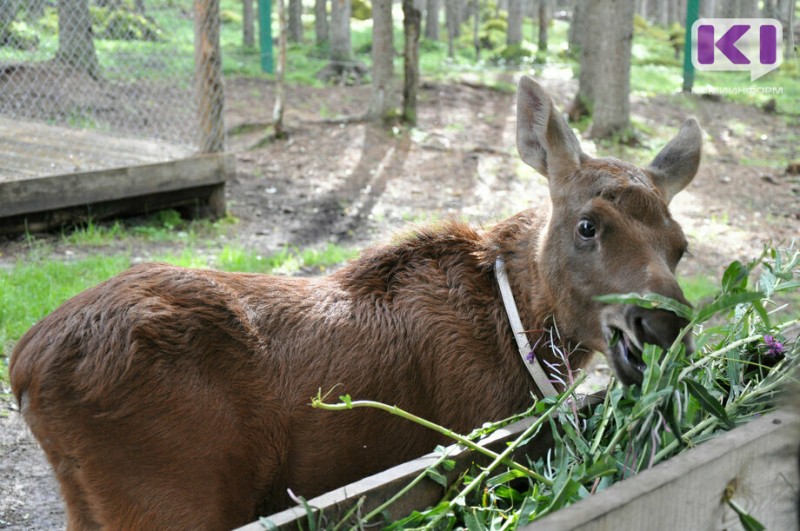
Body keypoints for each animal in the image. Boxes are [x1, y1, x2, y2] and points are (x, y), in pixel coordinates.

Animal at [10, 77, 700, 528]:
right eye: (587, 225)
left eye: (681, 245)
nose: (661, 323)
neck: (524, 334)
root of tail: (22, 371)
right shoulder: (469, 449)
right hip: (172, 502)